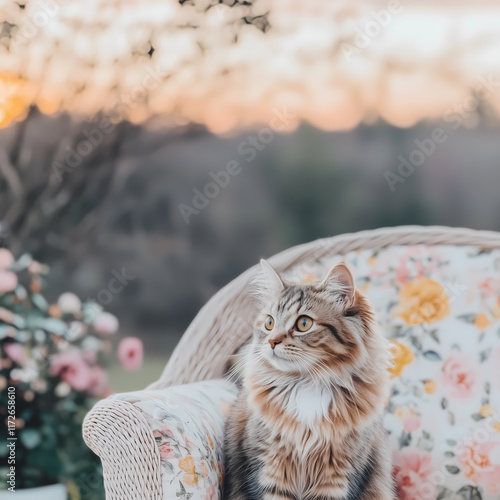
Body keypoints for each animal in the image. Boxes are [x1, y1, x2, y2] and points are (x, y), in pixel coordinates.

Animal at [224, 260, 394, 498]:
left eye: (303, 323)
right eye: (269, 323)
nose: (272, 342)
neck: (307, 384)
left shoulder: (337, 476)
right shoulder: (270, 470)